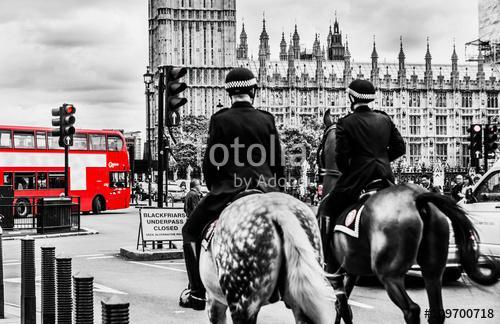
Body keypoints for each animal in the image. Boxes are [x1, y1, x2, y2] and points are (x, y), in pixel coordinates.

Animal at [318, 109, 498, 324]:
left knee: (412, 309)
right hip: (433, 267)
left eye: (320, 144)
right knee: (436, 310)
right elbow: (342, 306)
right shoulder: (352, 267)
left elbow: (343, 306)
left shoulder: (335, 271)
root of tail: (417, 198)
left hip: (389, 272)